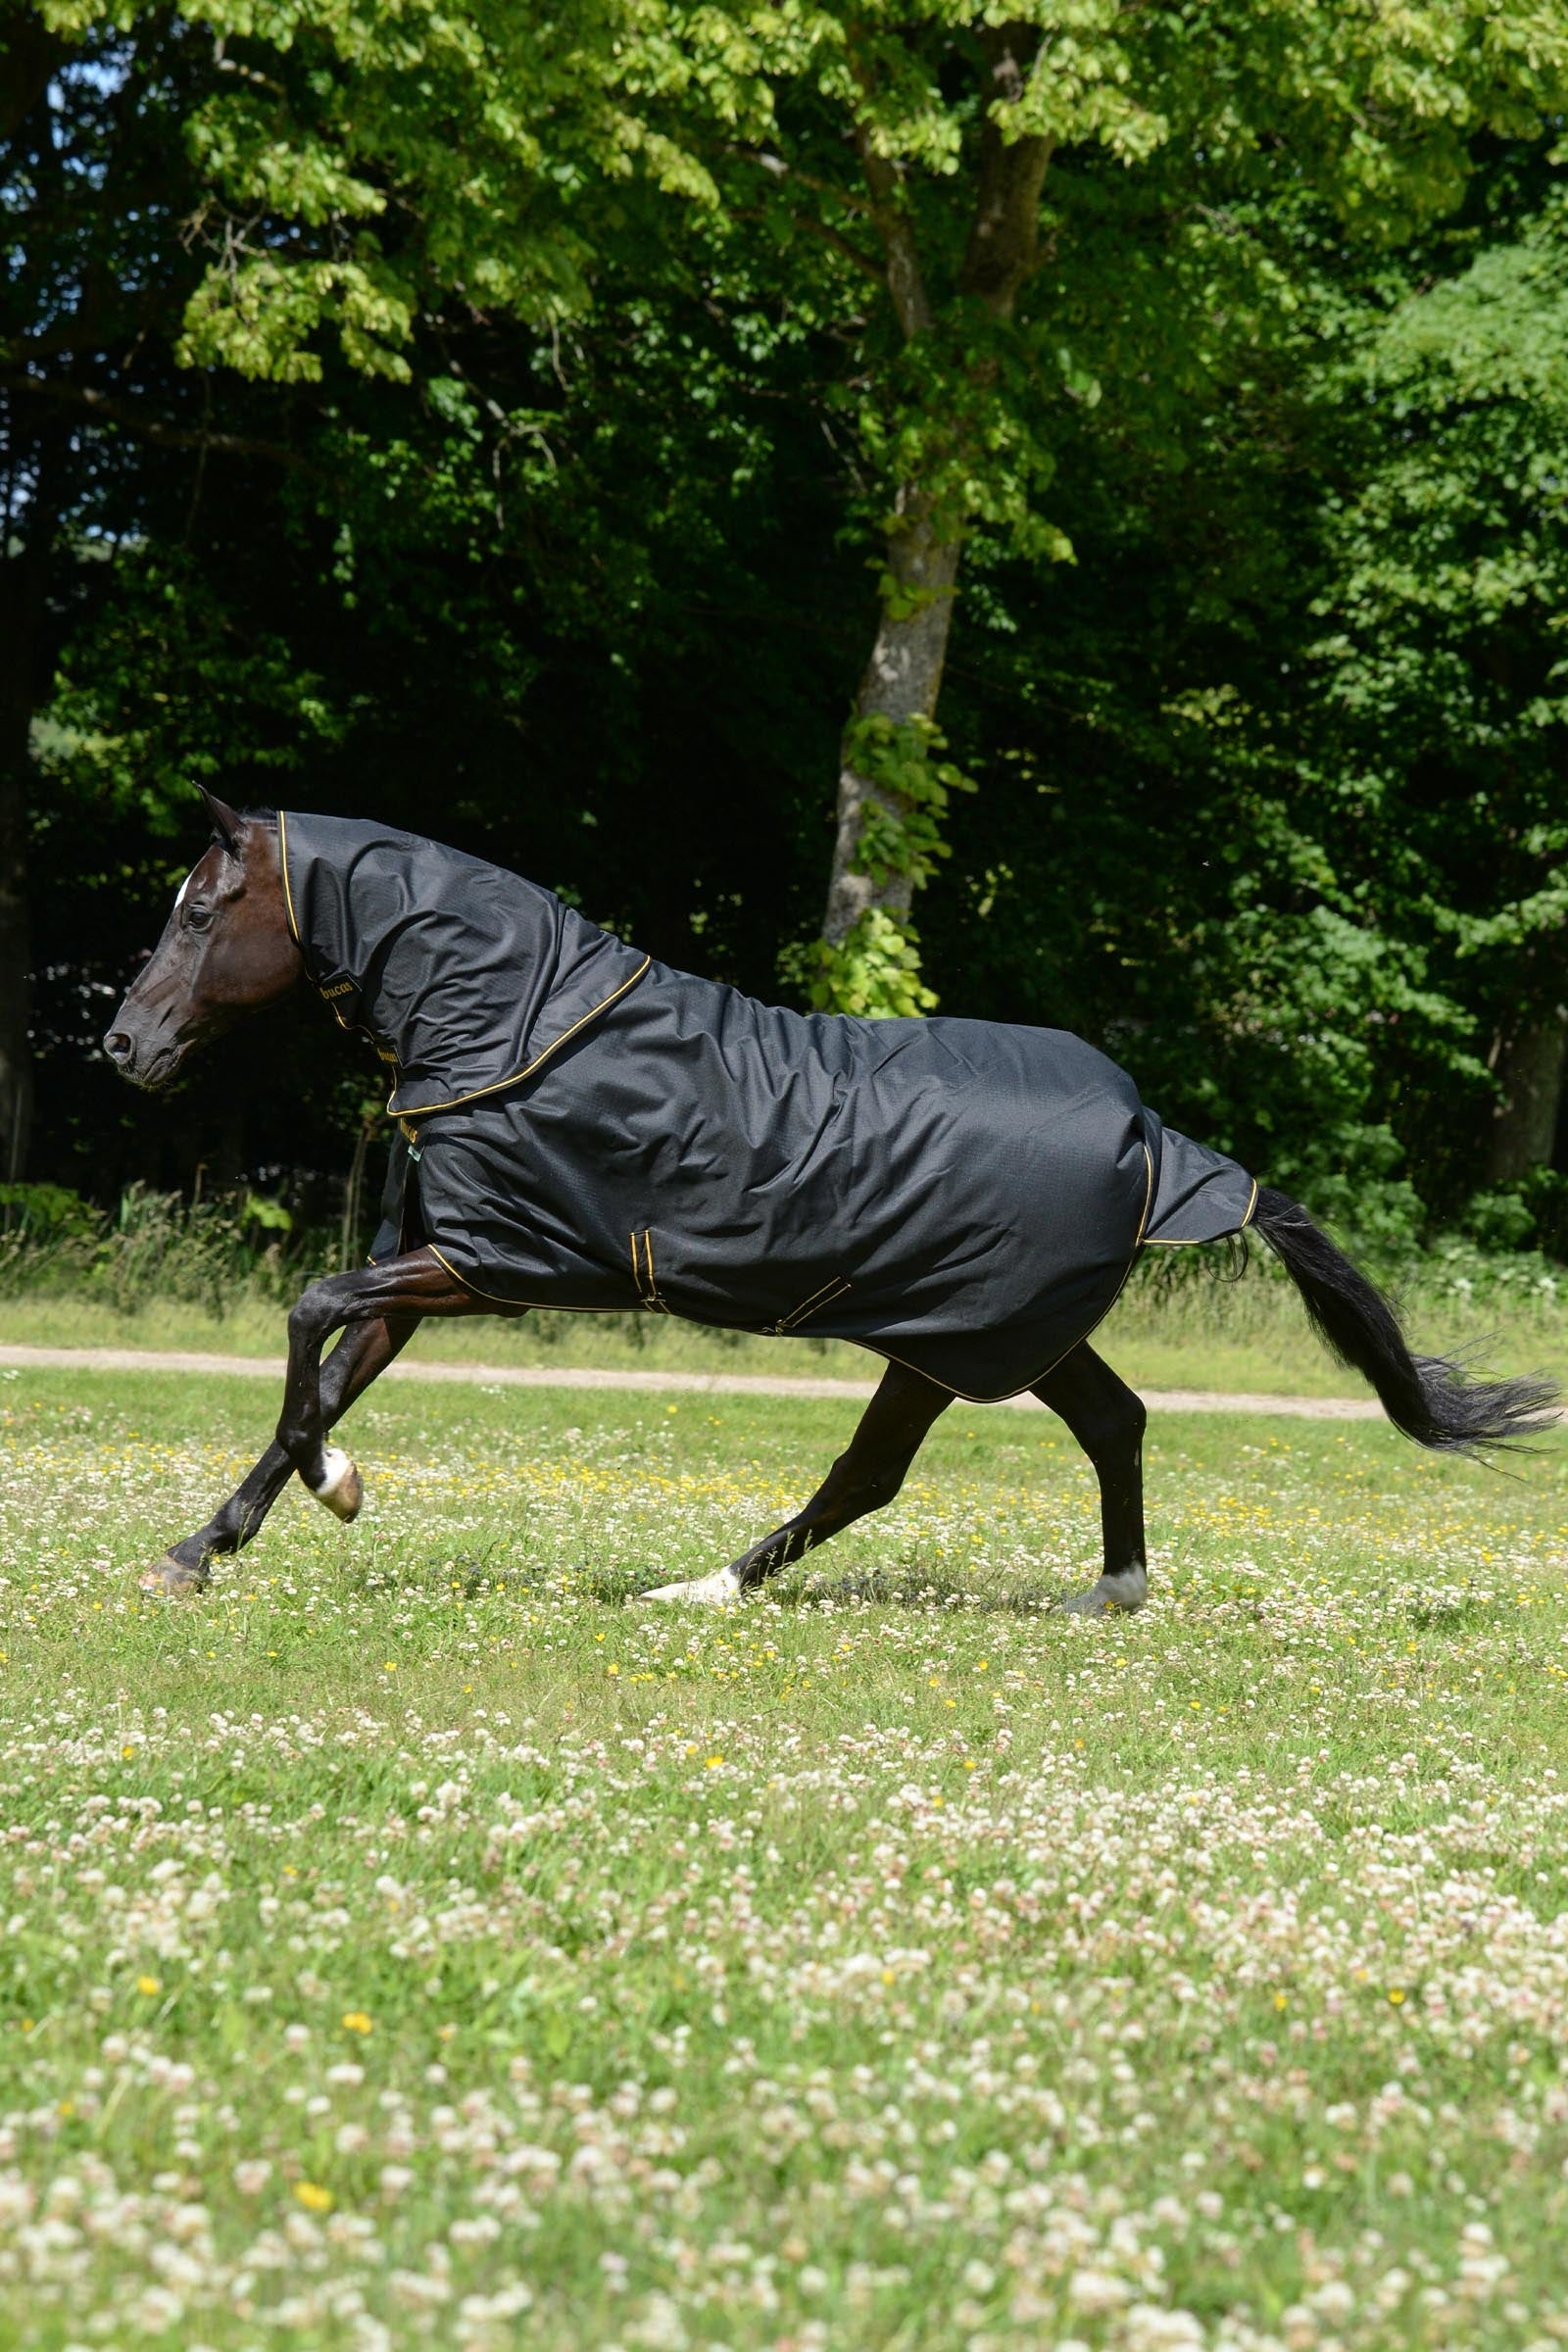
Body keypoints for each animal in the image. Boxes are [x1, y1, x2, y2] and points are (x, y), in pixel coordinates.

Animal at [103, 788, 1557, 1608]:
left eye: (200, 911)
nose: (122, 1046)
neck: (520, 1024)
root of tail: (1160, 1138)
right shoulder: (445, 1263)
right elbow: (334, 1363)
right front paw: (207, 1544)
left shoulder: (503, 1263)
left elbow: (310, 1317)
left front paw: (328, 1491)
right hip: (1006, 1335)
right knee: (1114, 1423)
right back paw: (1111, 1593)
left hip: (950, 1337)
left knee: (874, 1473)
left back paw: (705, 1588)